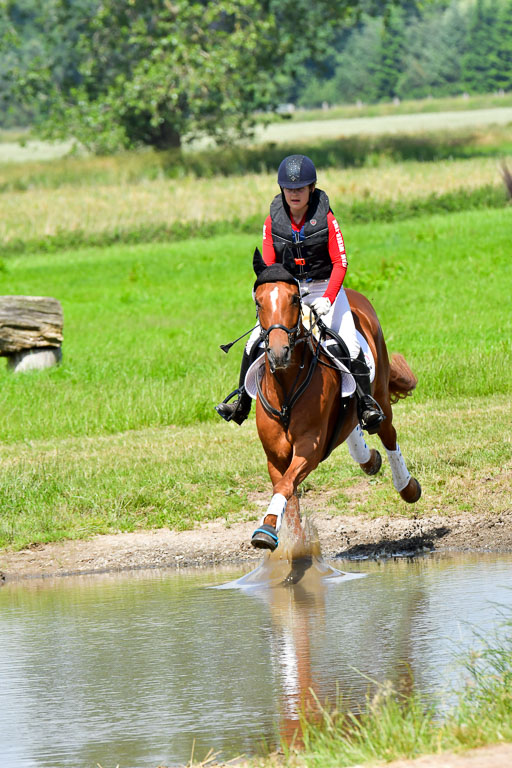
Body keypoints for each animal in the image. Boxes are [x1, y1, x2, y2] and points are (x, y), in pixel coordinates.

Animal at [249, 263, 421, 553]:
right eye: (259, 302)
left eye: (294, 299)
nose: (279, 352)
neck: (286, 388)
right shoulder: (276, 455)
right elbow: (287, 493)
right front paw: (288, 542)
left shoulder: (310, 447)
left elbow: (286, 486)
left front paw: (266, 531)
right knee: (352, 427)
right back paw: (369, 459)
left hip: (381, 395)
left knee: (388, 433)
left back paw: (407, 487)